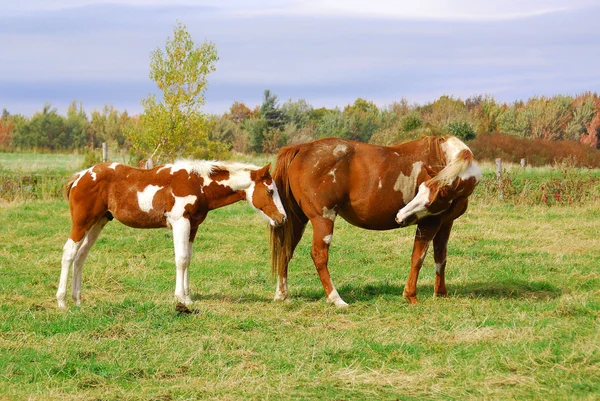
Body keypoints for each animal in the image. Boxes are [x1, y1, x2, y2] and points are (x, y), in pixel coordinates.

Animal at [56, 159, 286, 310]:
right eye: (270, 191)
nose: (282, 218)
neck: (198, 184)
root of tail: (79, 177)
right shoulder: (180, 223)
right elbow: (181, 259)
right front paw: (181, 298)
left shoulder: (193, 226)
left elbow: (188, 259)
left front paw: (187, 296)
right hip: (82, 223)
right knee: (69, 253)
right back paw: (62, 301)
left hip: (98, 223)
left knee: (81, 256)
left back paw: (77, 300)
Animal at [272, 136, 482, 304]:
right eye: (421, 192)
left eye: (431, 197)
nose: (400, 216)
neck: (443, 156)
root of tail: (302, 148)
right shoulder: (429, 223)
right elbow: (418, 258)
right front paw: (410, 295)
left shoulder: (446, 223)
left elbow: (440, 257)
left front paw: (441, 293)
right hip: (323, 219)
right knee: (319, 256)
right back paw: (335, 299)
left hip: (297, 221)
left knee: (286, 251)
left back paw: (282, 295)